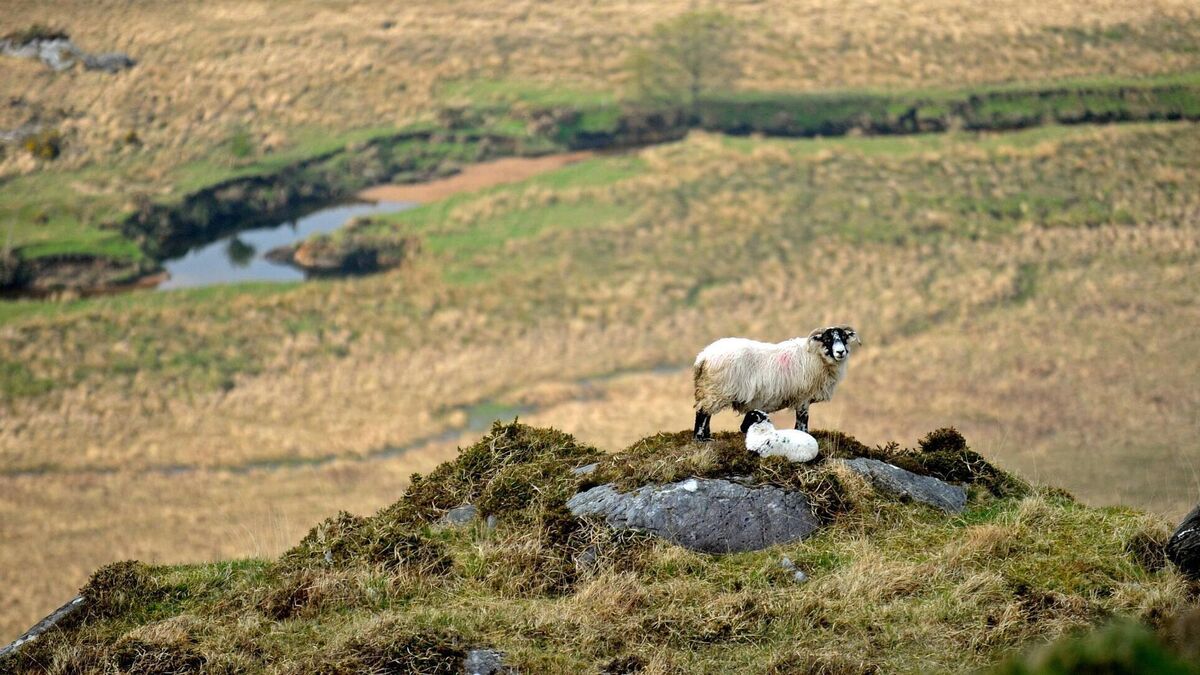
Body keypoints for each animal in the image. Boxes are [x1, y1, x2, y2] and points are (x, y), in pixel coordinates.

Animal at [692, 325, 861, 441]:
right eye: (827, 339)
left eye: (844, 337)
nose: (840, 352)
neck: (816, 356)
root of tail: (703, 356)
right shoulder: (803, 398)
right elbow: (802, 420)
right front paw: (804, 435)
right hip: (715, 390)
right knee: (702, 413)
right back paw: (700, 438)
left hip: (709, 390)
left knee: (707, 414)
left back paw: (707, 435)